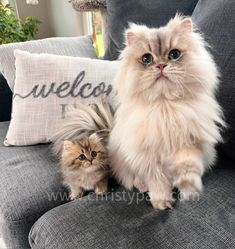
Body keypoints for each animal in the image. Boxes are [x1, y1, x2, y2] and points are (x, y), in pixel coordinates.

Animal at [109, 15, 225, 210]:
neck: (165, 107)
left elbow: (187, 166)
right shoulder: (150, 159)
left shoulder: (189, 144)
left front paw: (188, 188)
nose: (161, 65)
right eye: (147, 58)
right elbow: (158, 184)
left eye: (174, 54)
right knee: (133, 178)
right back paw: (142, 186)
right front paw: (162, 203)